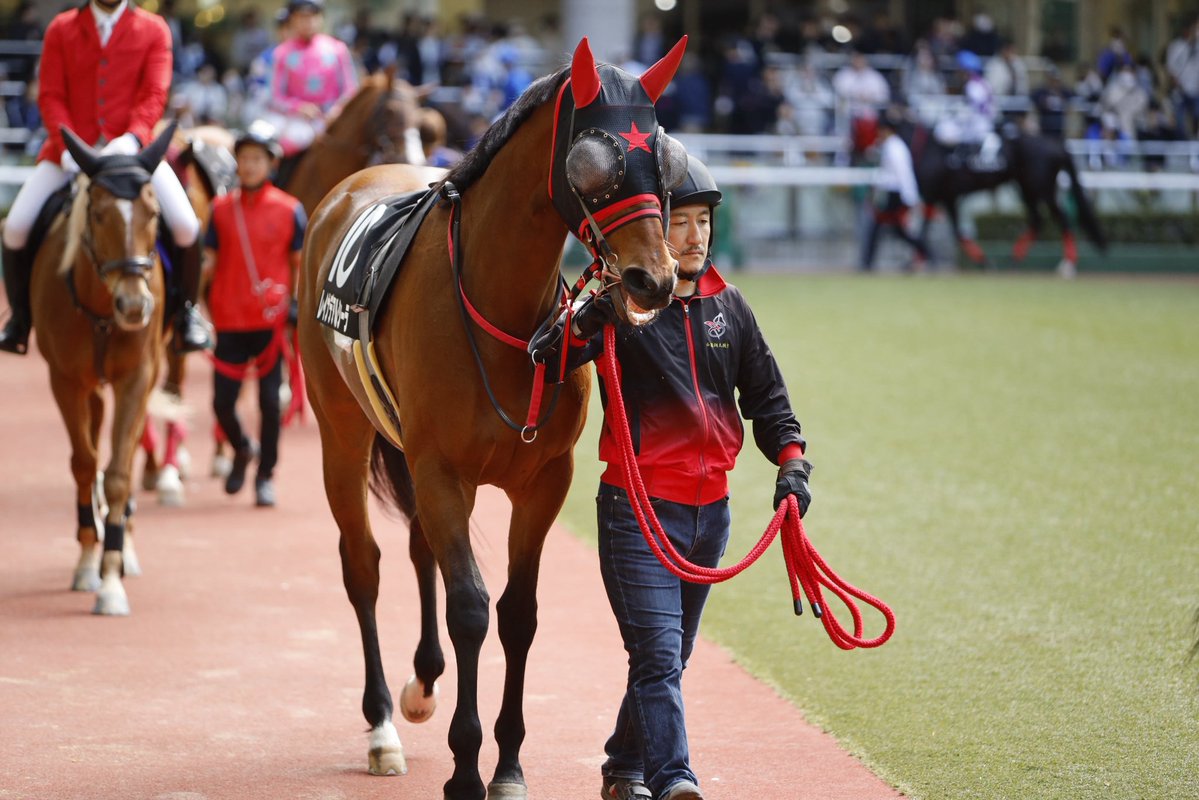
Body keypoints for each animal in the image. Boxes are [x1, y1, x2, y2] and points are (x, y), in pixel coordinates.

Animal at [27, 124, 175, 615]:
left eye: (153, 213)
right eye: (97, 215)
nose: (135, 306)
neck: (102, 309)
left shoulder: (137, 378)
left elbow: (117, 474)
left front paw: (112, 576)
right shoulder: (65, 381)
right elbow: (84, 463)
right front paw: (90, 561)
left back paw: (124, 541)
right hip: (88, 385)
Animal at [297, 37, 688, 798]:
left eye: (658, 155)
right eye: (594, 161)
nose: (652, 279)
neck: (497, 304)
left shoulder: (543, 480)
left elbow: (517, 614)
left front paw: (506, 765)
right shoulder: (441, 470)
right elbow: (471, 609)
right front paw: (465, 768)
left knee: (420, 549)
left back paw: (423, 683)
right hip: (343, 433)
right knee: (364, 565)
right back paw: (383, 724)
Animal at [902, 122, 1107, 275]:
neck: (928, 148)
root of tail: (1056, 143)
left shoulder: (933, 194)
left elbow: (924, 229)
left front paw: (917, 260)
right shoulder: (947, 197)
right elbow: (957, 232)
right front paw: (984, 261)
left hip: (1041, 189)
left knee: (1061, 219)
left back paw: (1067, 264)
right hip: (1026, 188)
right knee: (1038, 220)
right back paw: (1015, 259)